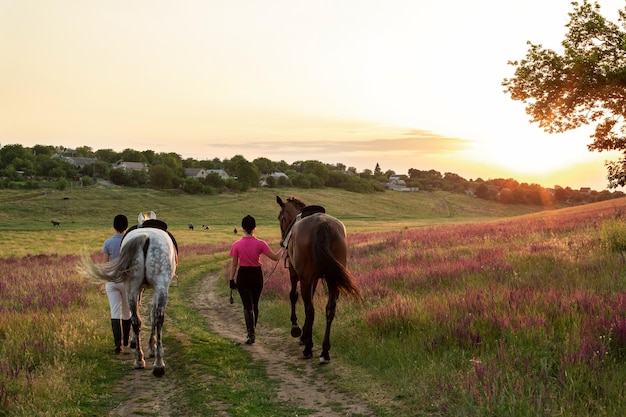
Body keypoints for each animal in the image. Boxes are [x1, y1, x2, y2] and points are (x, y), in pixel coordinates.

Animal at [276, 195, 358, 360]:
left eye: (280, 218)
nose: (282, 241)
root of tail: (323, 225)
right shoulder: (312, 279)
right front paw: (305, 334)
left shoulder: (296, 274)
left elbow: (294, 296)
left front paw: (297, 329)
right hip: (332, 279)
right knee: (330, 310)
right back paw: (325, 351)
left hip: (306, 279)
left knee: (310, 310)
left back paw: (308, 348)